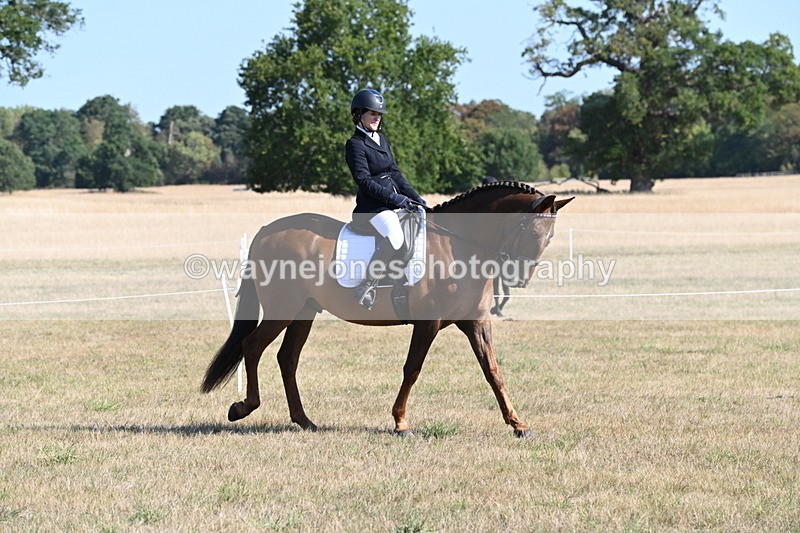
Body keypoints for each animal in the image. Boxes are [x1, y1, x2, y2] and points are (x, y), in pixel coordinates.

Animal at [201, 181, 573, 438]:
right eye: (531, 232)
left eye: (550, 238)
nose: (519, 279)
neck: (459, 246)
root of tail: (267, 230)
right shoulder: (428, 322)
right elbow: (412, 369)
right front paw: (400, 422)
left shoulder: (475, 322)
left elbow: (493, 371)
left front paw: (518, 423)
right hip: (283, 309)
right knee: (252, 346)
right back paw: (243, 408)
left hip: (304, 312)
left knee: (287, 358)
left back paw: (304, 421)